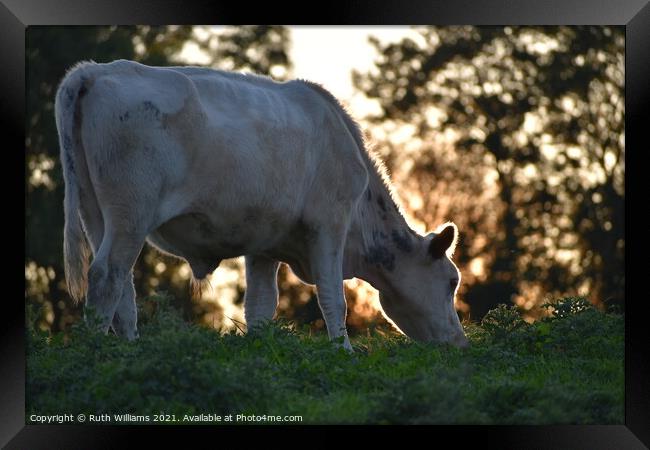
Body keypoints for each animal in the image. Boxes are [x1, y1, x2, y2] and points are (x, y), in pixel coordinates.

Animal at [55, 58, 468, 350]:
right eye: (451, 281)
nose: (461, 342)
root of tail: (96, 70)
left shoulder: (264, 245)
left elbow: (260, 307)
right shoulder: (329, 225)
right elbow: (334, 299)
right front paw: (344, 351)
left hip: (95, 212)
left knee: (122, 286)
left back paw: (129, 349)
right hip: (131, 211)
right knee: (107, 275)